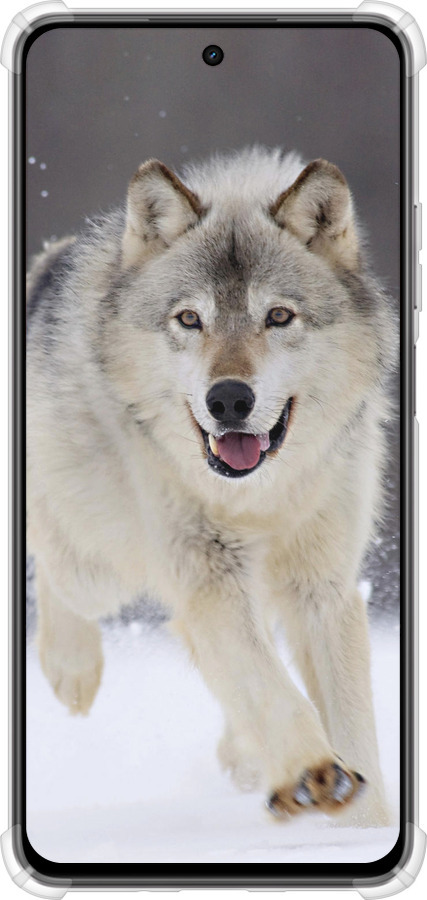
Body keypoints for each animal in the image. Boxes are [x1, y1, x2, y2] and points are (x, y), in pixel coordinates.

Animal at [27, 147, 395, 826]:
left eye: (278, 316)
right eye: (190, 319)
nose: (228, 399)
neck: (258, 498)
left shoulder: (322, 586)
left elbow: (351, 723)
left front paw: (365, 826)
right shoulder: (207, 574)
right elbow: (270, 686)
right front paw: (312, 773)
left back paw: (245, 757)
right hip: (101, 567)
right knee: (58, 574)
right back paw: (72, 670)